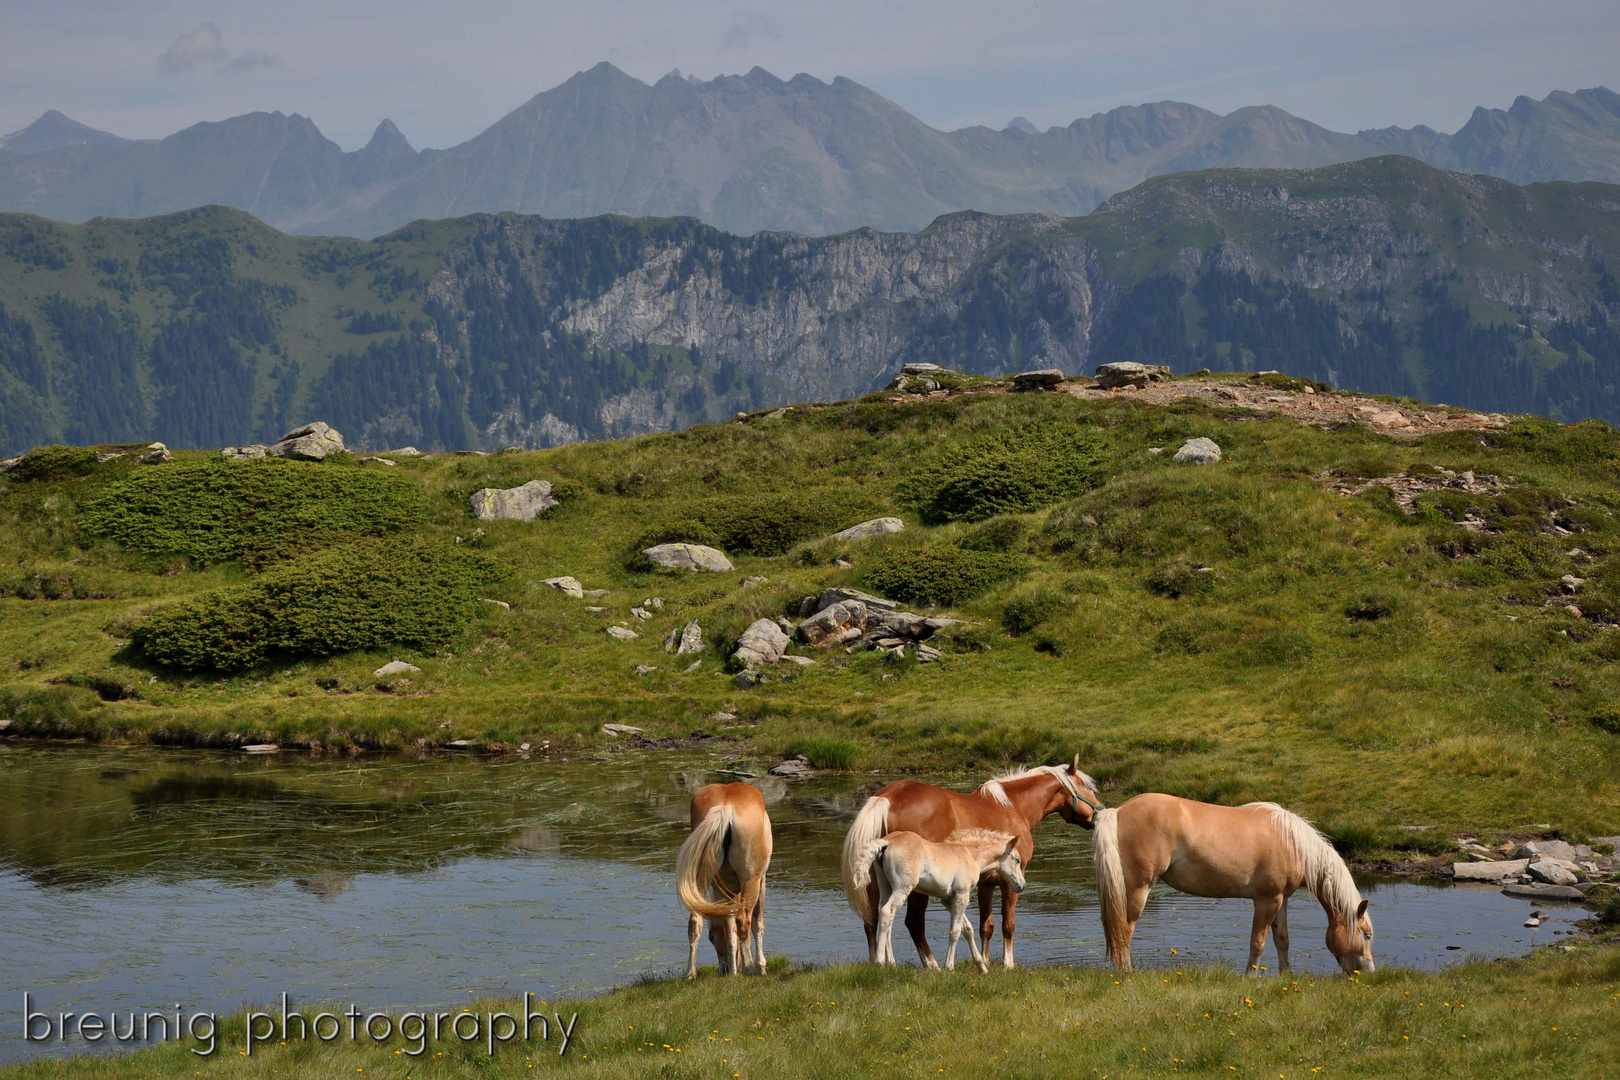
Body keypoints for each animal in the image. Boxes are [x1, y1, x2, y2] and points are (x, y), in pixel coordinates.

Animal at [670, 786, 771, 977]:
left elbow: (729, 932)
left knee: (695, 921)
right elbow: (757, 923)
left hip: (701, 881)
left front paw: (734, 971)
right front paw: (759, 966)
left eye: (712, 937)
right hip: (751, 881)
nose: (722, 971)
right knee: (744, 921)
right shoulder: (761, 881)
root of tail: (725, 808)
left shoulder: (722, 891)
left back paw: (690, 973)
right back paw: (750, 967)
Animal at [848, 835, 1023, 977]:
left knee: (886, 920)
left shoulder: (948, 899)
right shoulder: (961, 895)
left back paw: (891, 963)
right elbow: (955, 931)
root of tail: (888, 842)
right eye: (1017, 860)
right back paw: (879, 962)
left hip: (886, 887)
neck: (970, 856)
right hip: (902, 888)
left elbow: (967, 929)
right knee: (886, 913)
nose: (1021, 885)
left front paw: (982, 968)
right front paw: (949, 966)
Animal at [1095, 793, 1373, 977]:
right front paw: (1250, 978)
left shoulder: (1281, 899)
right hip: (1137, 889)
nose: (1368, 971)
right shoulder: (1266, 900)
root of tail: (1118, 811)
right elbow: (1258, 941)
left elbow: (1282, 939)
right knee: (1124, 931)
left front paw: (1286, 976)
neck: (1292, 842)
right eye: (1367, 935)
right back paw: (1127, 973)